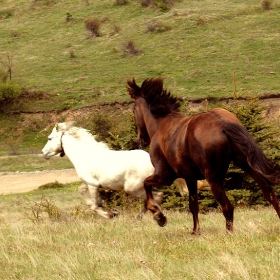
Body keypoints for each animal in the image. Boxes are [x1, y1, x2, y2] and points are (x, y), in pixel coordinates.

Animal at [127, 76, 280, 234]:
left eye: (134, 109)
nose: (141, 139)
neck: (160, 125)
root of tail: (222, 123)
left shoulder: (165, 176)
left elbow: (146, 184)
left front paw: (159, 216)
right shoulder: (190, 178)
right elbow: (193, 205)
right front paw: (195, 231)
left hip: (213, 178)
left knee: (228, 207)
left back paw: (228, 233)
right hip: (246, 164)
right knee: (270, 195)